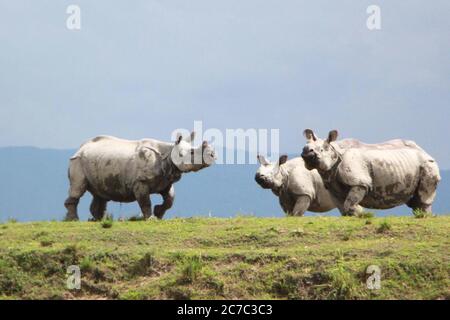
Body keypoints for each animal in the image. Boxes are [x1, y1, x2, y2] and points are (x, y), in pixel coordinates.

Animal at [63, 132, 216, 220]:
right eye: (192, 153)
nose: (213, 155)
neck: (169, 153)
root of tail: (80, 148)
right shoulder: (140, 182)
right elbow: (145, 202)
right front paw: (151, 218)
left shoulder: (166, 181)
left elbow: (170, 199)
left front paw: (159, 213)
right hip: (77, 161)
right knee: (78, 188)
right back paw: (74, 220)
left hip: (96, 162)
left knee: (100, 194)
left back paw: (100, 220)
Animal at [300, 129, 442, 216]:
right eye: (304, 147)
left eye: (322, 149)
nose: (306, 153)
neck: (335, 151)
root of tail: (425, 152)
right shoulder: (332, 185)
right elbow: (343, 208)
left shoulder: (360, 182)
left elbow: (349, 204)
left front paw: (360, 216)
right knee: (415, 202)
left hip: (428, 165)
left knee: (424, 198)